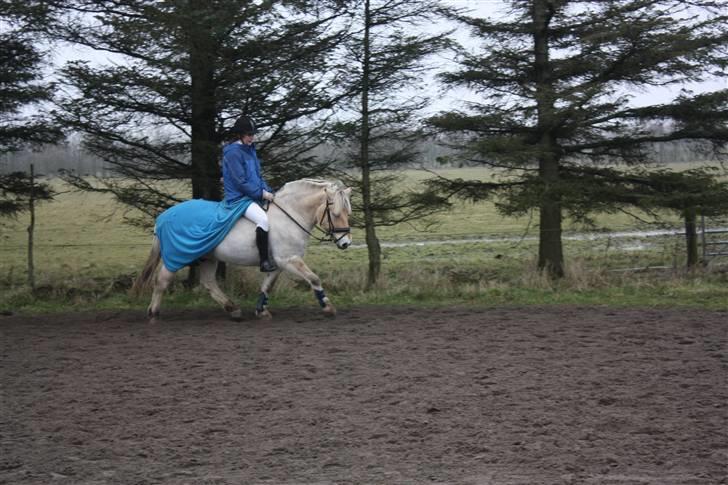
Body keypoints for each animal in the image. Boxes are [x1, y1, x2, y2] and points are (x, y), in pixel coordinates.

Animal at [134, 178, 356, 322]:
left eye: (348, 212)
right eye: (336, 213)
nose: (345, 243)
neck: (290, 215)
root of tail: (163, 217)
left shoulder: (278, 263)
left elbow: (267, 286)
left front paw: (261, 311)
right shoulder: (289, 259)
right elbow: (314, 278)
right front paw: (327, 307)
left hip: (208, 256)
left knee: (208, 283)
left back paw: (232, 309)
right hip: (178, 255)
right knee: (162, 281)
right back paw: (153, 314)